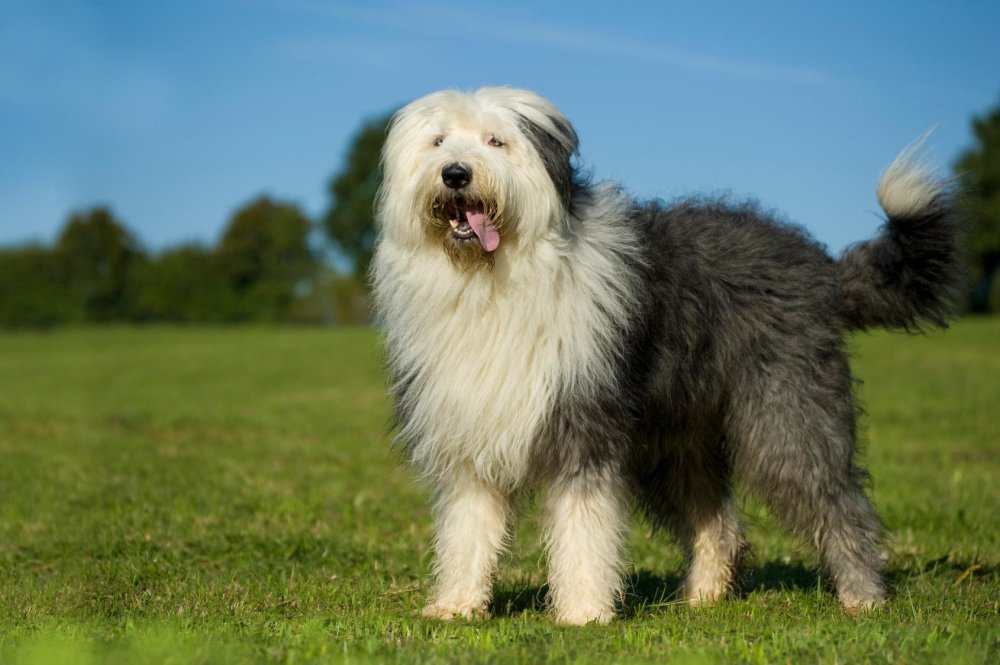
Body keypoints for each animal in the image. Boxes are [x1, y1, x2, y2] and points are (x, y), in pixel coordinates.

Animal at [372, 87, 964, 624]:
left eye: (497, 141)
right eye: (438, 141)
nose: (455, 174)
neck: (495, 279)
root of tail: (822, 266)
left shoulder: (583, 423)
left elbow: (583, 525)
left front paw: (582, 613)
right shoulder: (472, 431)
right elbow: (468, 527)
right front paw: (456, 607)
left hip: (787, 410)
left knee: (836, 501)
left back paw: (863, 597)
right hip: (679, 436)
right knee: (717, 523)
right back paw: (702, 598)